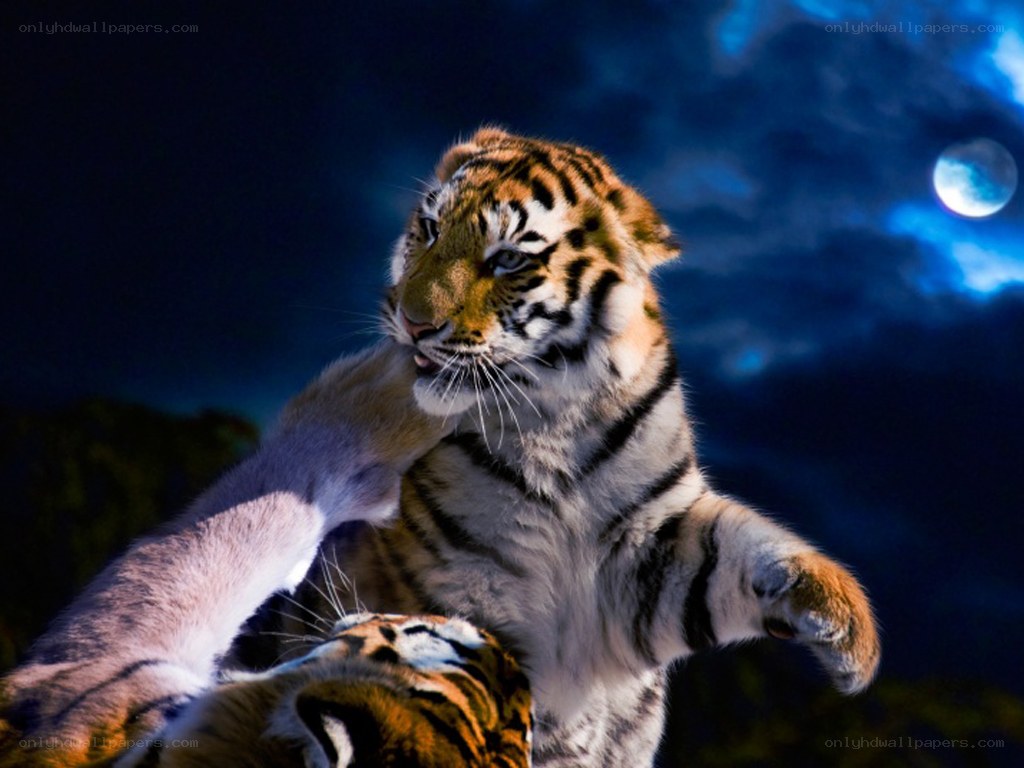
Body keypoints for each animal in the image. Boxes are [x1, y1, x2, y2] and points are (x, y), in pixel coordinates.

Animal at [242, 127, 881, 767]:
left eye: (508, 260)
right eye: (430, 227)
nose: (411, 321)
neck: (555, 419)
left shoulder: (648, 553)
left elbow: (741, 556)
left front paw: (852, 642)